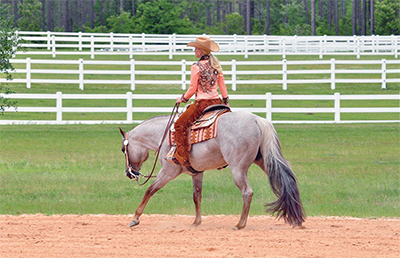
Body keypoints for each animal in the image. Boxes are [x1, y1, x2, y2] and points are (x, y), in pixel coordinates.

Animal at [120, 111, 304, 230]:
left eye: (123, 150)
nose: (129, 173)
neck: (164, 135)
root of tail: (257, 120)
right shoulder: (197, 173)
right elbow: (197, 196)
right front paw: (196, 222)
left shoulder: (168, 172)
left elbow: (150, 190)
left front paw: (135, 218)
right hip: (266, 161)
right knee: (286, 182)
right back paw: (298, 219)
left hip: (238, 169)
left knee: (247, 192)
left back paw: (240, 224)